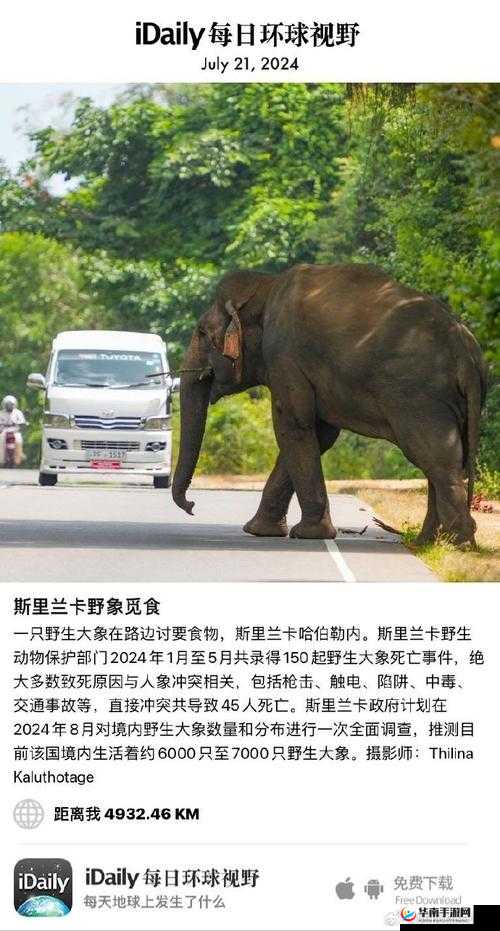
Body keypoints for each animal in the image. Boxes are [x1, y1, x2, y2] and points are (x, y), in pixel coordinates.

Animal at [172, 263, 487, 545]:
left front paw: (305, 534)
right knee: (442, 459)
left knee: (437, 458)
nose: (192, 506)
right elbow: (320, 435)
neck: (267, 286)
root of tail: (466, 349)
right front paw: (260, 531)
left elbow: (294, 426)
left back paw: (457, 544)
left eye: (202, 333)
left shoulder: (284, 355)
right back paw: (428, 543)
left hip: (419, 398)